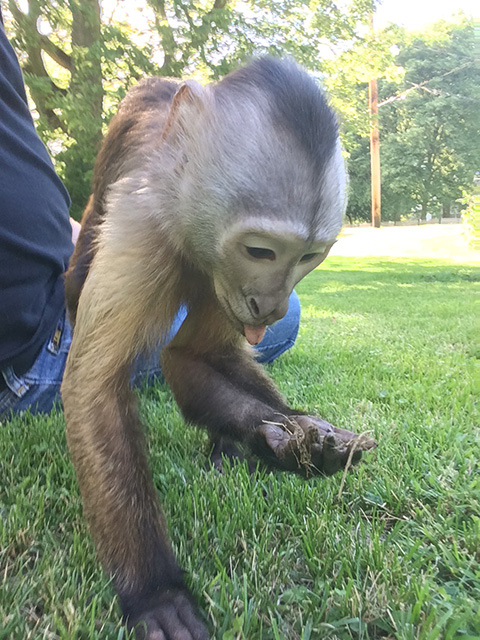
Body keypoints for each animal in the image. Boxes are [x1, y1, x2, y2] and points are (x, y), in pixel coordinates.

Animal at [62, 57, 376, 640]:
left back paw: (245, 440)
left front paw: (298, 434)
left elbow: (191, 356)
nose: (271, 305)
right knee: (79, 279)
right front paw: (154, 591)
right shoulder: (142, 231)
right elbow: (93, 388)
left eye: (309, 257)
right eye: (260, 251)